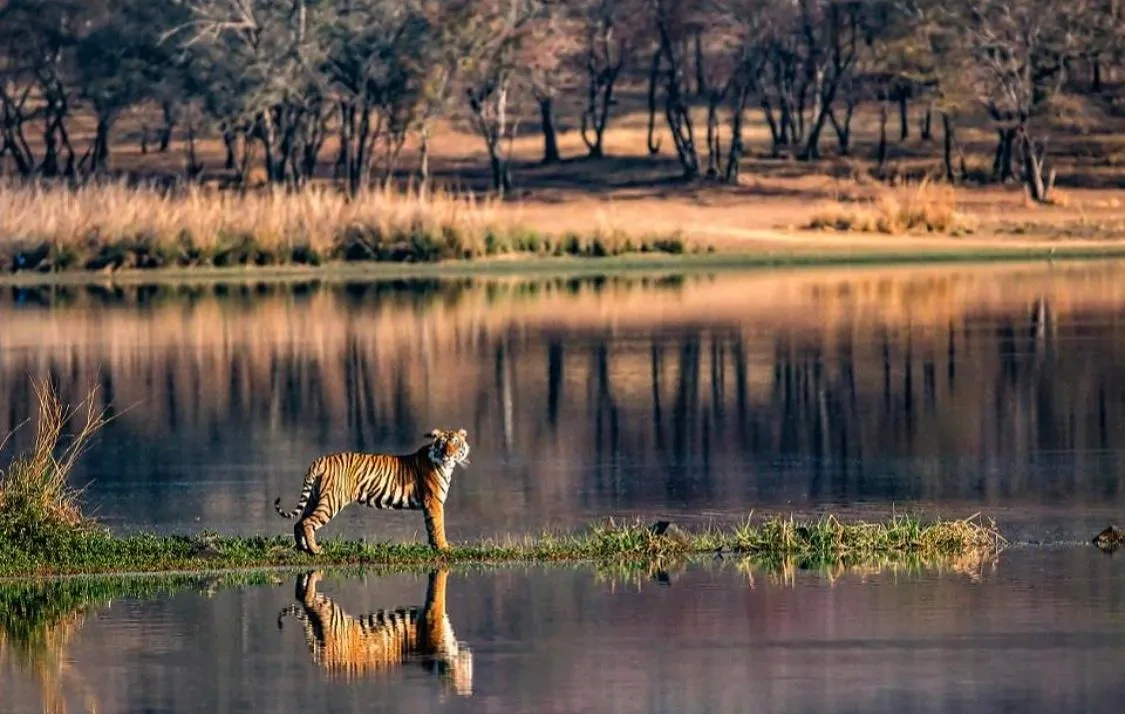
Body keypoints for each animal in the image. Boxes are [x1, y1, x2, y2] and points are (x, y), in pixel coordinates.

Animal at [273, 428, 471, 554]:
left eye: (455, 444)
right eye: (442, 444)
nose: (448, 455)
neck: (446, 466)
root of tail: (320, 459)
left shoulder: (430, 505)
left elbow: (431, 527)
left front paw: (435, 547)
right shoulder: (434, 501)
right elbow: (438, 525)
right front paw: (444, 547)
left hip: (314, 498)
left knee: (299, 522)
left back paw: (303, 548)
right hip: (331, 501)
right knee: (308, 522)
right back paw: (315, 550)